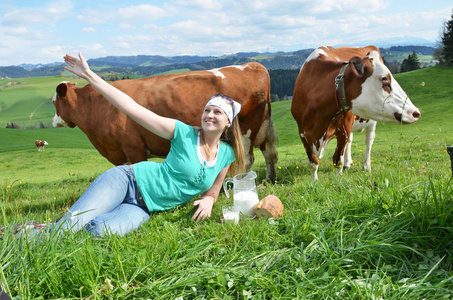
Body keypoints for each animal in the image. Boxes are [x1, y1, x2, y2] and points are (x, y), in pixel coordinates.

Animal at [53, 62, 278, 182]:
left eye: (54, 102)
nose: (54, 121)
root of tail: (253, 65)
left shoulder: (134, 147)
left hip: (245, 131)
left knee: (246, 159)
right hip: (264, 127)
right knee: (270, 154)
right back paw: (269, 179)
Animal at [290, 45, 420, 178]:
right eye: (384, 78)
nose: (415, 113)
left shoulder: (343, 130)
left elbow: (337, 160)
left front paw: (338, 179)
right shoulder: (302, 132)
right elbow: (313, 163)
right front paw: (314, 181)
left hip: (371, 122)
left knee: (369, 141)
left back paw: (366, 166)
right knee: (351, 141)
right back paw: (348, 163)